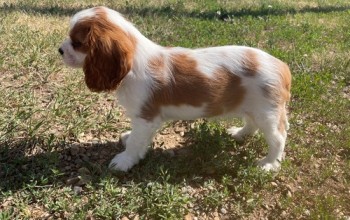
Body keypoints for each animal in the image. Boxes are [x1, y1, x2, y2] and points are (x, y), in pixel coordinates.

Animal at [58, 6, 292, 172]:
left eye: (77, 43)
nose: (59, 50)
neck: (135, 61)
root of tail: (282, 66)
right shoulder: (142, 118)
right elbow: (135, 137)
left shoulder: (146, 117)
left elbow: (135, 142)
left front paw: (124, 161)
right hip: (252, 107)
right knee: (251, 123)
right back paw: (240, 134)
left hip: (267, 113)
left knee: (278, 138)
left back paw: (269, 164)